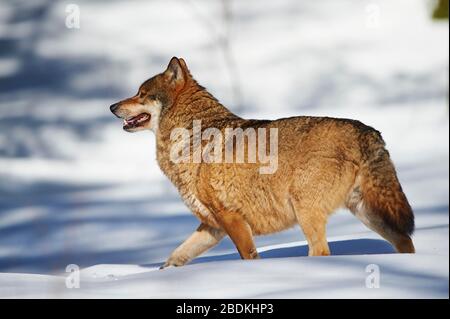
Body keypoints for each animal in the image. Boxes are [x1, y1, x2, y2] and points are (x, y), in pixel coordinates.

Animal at [109, 58, 414, 270]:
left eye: (141, 93)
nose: (111, 107)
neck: (192, 137)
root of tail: (367, 130)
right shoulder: (212, 225)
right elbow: (174, 258)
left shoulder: (231, 219)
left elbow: (248, 257)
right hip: (368, 212)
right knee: (405, 241)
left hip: (308, 211)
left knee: (321, 252)